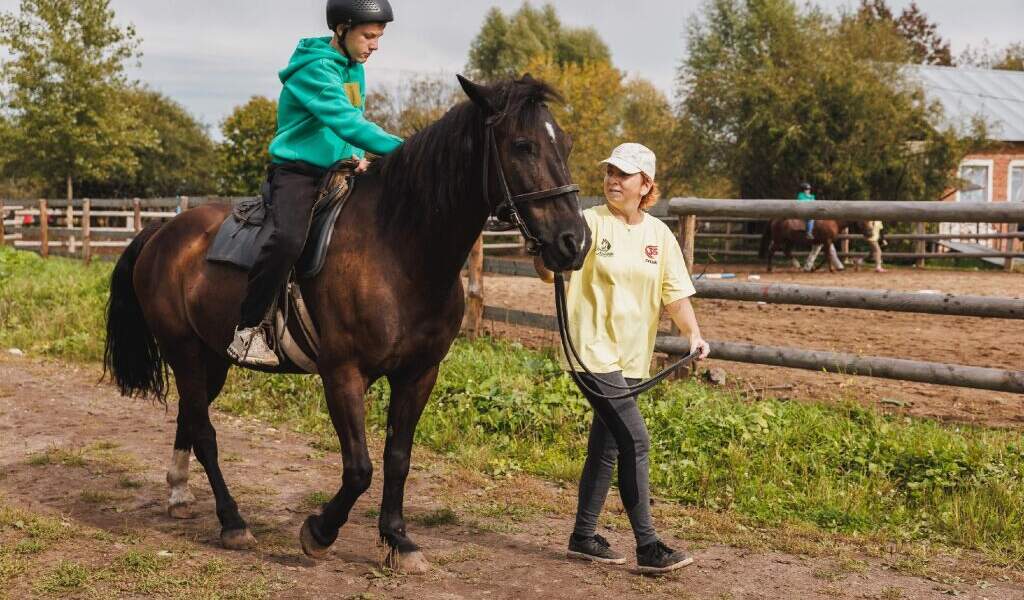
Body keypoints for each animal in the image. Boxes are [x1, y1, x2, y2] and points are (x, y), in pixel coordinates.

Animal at [102, 75, 590, 572]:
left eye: (567, 144)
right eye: (522, 145)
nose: (574, 242)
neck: (399, 249)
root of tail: (162, 232)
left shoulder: (419, 373)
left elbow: (397, 458)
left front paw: (399, 540)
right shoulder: (343, 374)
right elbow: (359, 469)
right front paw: (319, 532)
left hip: (211, 358)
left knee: (190, 415)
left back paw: (180, 494)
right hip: (182, 350)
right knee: (204, 432)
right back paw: (232, 522)